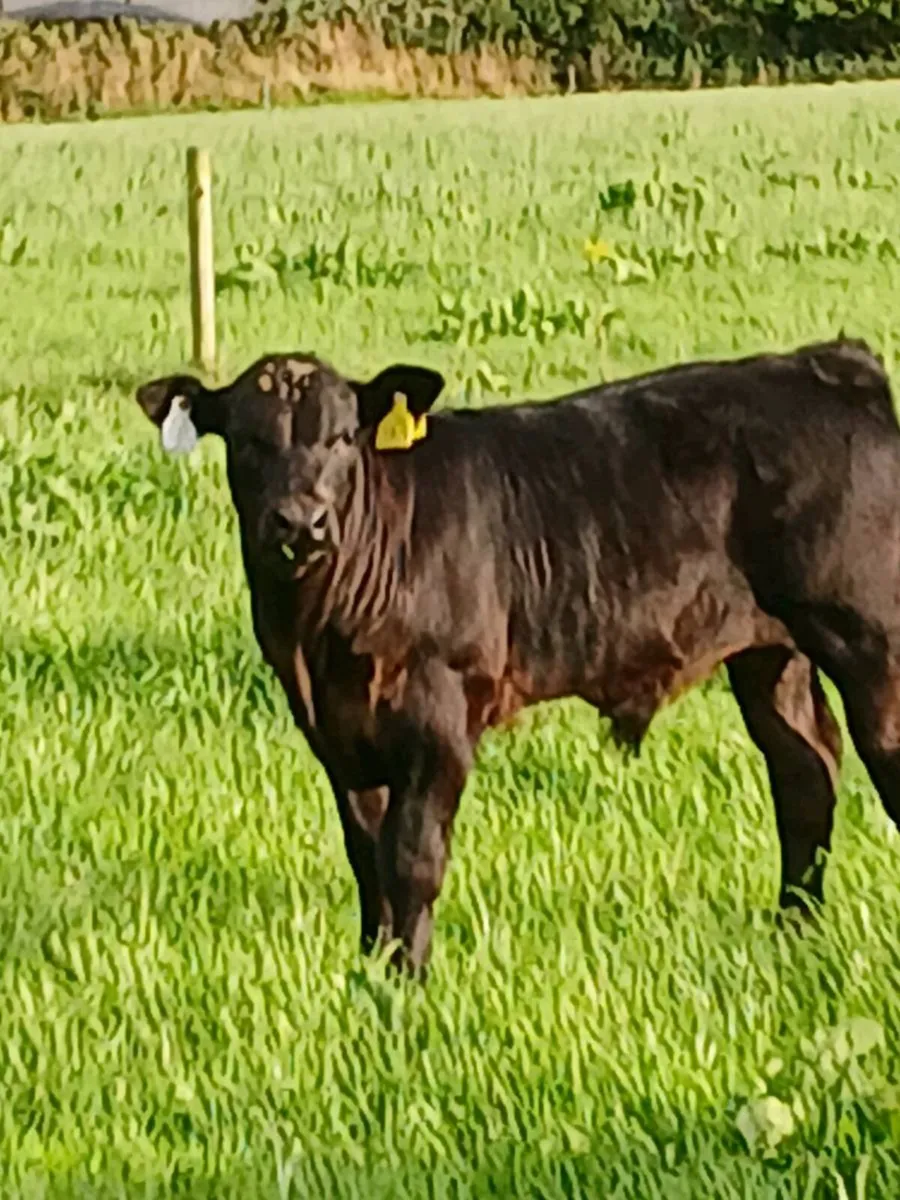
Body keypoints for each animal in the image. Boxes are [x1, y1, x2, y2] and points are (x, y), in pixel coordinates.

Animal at [134, 336, 900, 978]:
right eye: (247, 439)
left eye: (342, 436)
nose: (301, 521)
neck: (318, 634)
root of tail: (826, 363)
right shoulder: (336, 733)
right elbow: (366, 856)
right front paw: (369, 969)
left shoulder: (440, 717)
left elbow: (412, 858)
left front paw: (408, 983)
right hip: (772, 655)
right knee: (805, 775)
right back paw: (793, 930)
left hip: (872, 644)